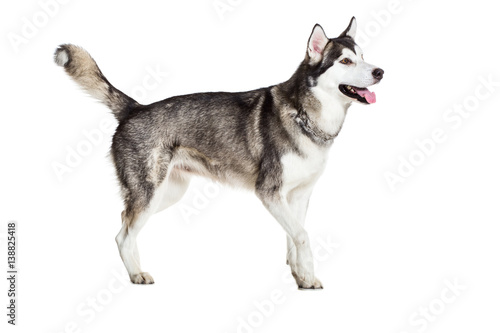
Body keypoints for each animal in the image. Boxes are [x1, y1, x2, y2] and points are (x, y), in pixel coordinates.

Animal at [54, 17, 382, 288]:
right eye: (345, 60)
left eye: (363, 57)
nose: (380, 71)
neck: (305, 116)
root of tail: (135, 108)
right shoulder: (270, 192)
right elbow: (302, 236)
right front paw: (309, 278)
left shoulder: (298, 197)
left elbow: (294, 238)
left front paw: (300, 276)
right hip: (149, 194)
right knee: (123, 234)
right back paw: (136, 275)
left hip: (165, 194)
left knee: (124, 221)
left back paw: (135, 266)